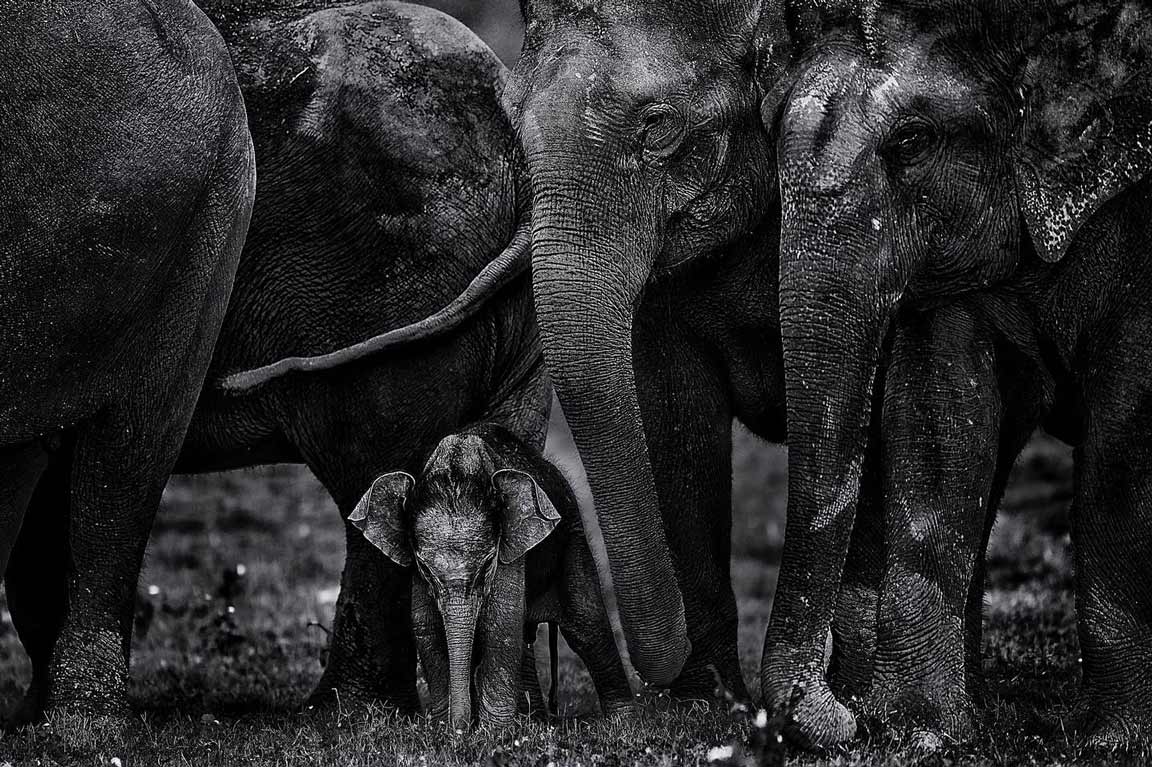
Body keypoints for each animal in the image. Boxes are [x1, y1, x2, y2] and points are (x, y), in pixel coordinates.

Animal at [350, 421, 640, 727]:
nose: (460, 730)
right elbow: (427, 628)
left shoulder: (511, 549)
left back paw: (624, 725)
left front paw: (493, 734)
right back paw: (534, 722)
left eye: (488, 564)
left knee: (588, 626)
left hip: (573, 534)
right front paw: (446, 729)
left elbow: (499, 625)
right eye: (424, 568)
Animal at [760, 0, 1152, 746]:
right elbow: (941, 422)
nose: (838, 716)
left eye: (912, 142)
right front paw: (924, 734)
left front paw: (1116, 739)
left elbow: (1125, 435)